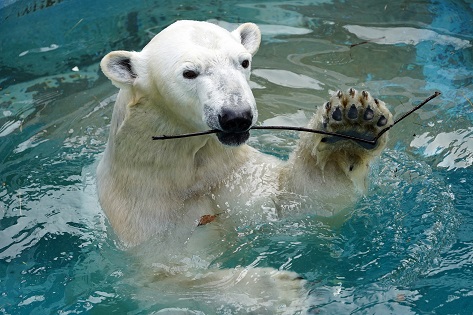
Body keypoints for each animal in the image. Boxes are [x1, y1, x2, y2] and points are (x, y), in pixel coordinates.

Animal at [98, 19, 390, 314]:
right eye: (189, 73)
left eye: (244, 61)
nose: (236, 116)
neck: (184, 169)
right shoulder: (147, 214)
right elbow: (163, 279)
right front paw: (278, 291)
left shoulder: (233, 173)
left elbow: (299, 200)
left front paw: (353, 124)